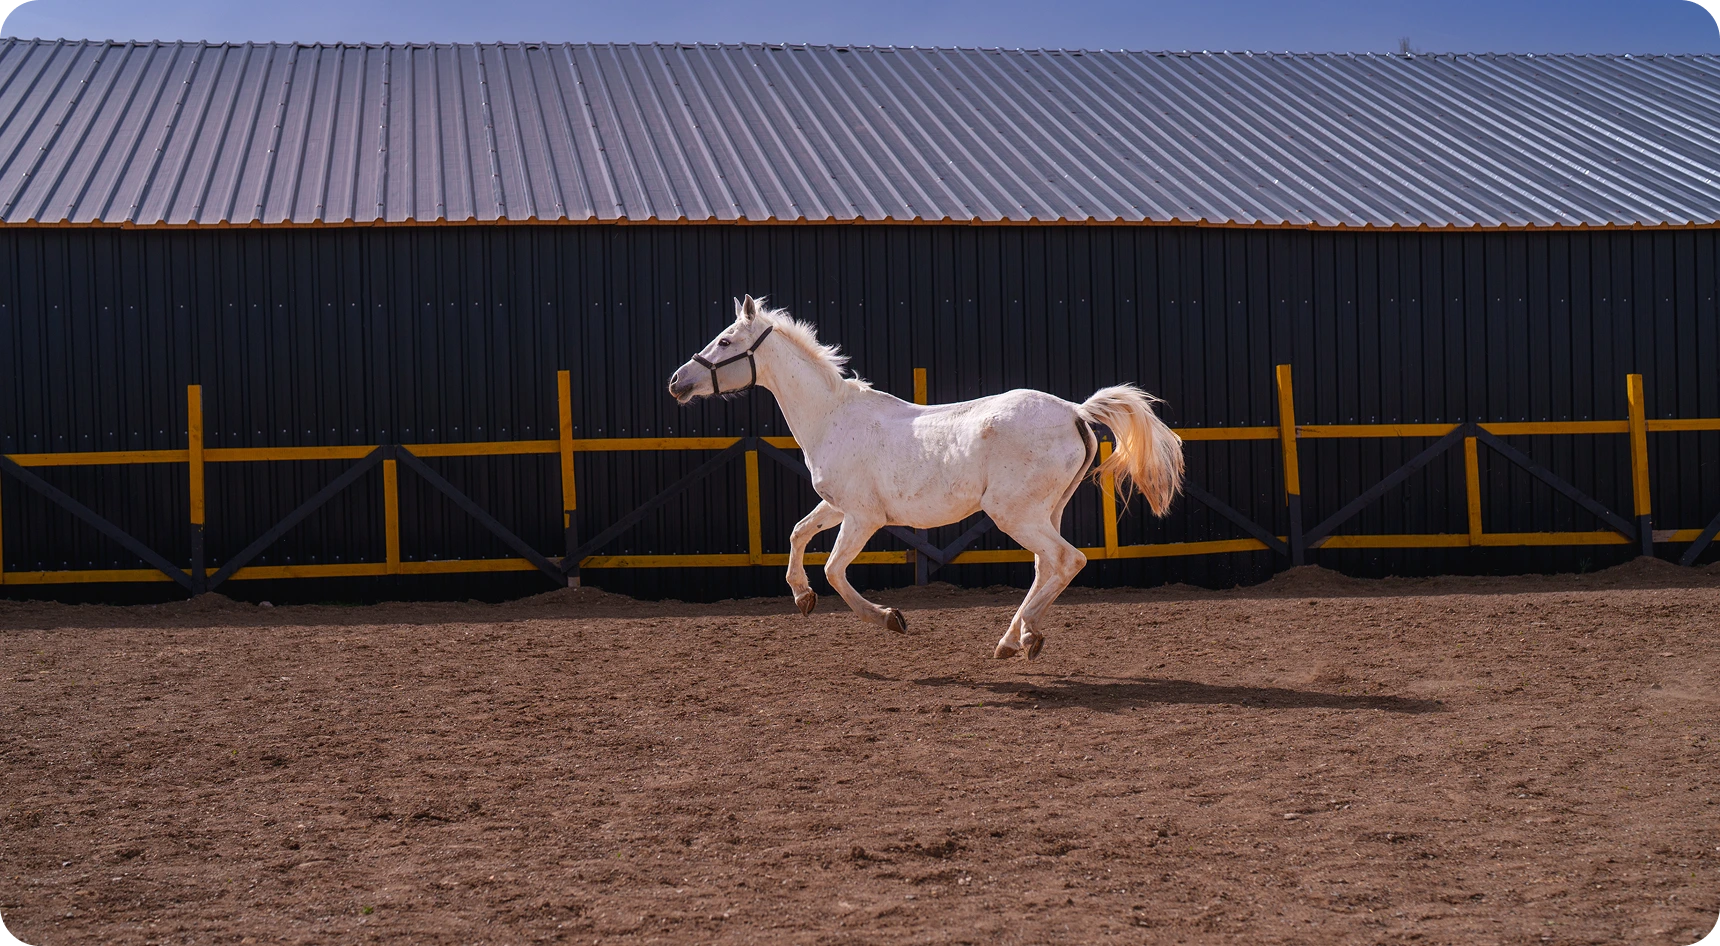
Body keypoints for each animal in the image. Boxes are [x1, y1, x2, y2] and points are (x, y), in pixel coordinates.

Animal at [667, 295, 1185, 660]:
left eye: (726, 342)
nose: (677, 382)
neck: (833, 416)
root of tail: (1076, 412)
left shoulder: (864, 517)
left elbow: (834, 569)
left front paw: (890, 619)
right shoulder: (838, 505)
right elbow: (797, 534)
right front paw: (802, 597)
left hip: (1014, 513)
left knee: (1066, 560)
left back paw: (1023, 638)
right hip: (1044, 511)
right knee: (1048, 566)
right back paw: (1013, 640)